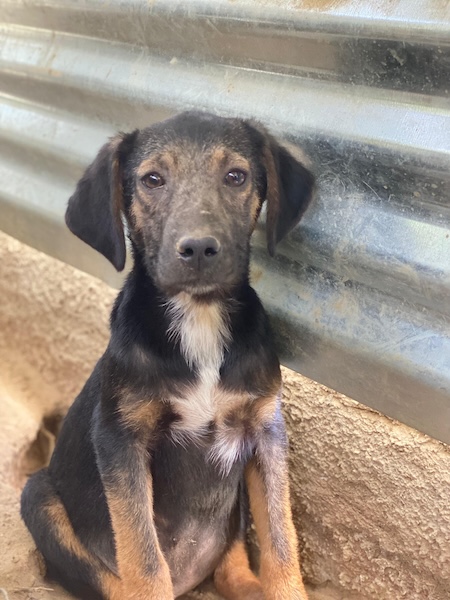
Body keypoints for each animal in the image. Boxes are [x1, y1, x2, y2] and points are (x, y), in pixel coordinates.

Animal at [21, 111, 314, 600]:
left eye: (236, 176)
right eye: (152, 180)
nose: (198, 249)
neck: (199, 317)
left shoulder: (265, 430)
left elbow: (280, 540)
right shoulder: (121, 439)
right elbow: (143, 557)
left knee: (229, 562)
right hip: (38, 497)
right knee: (116, 580)